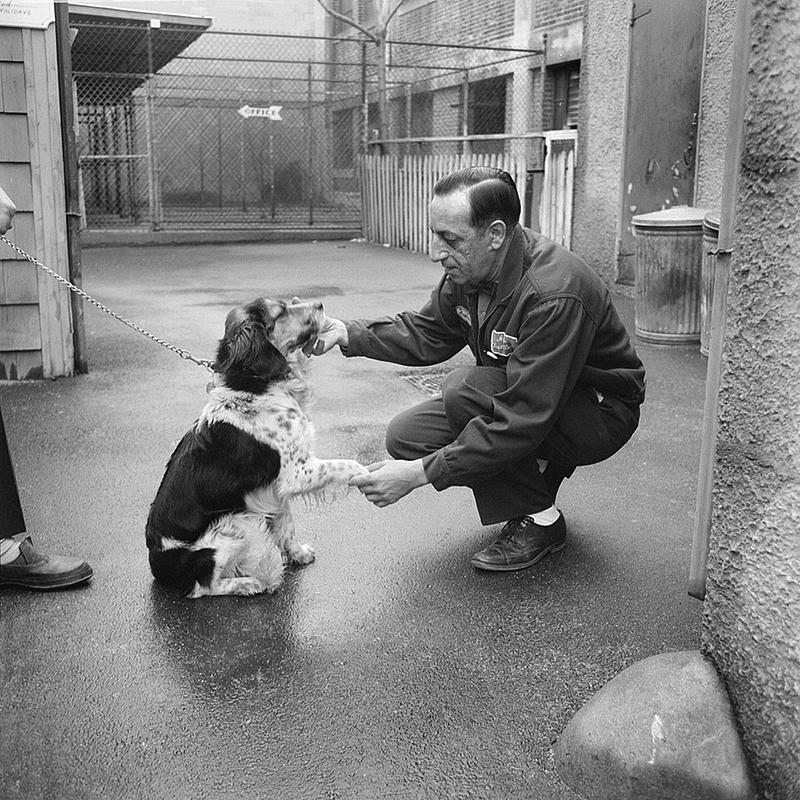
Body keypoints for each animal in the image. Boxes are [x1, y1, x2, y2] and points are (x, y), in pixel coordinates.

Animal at [145, 296, 368, 596]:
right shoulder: (295, 473)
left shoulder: (275, 491)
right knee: (204, 586)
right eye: (281, 311)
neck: (256, 386)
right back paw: (249, 583)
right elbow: (347, 464)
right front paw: (370, 474)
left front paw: (297, 554)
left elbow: (286, 526)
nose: (320, 304)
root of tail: (156, 565)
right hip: (233, 525)